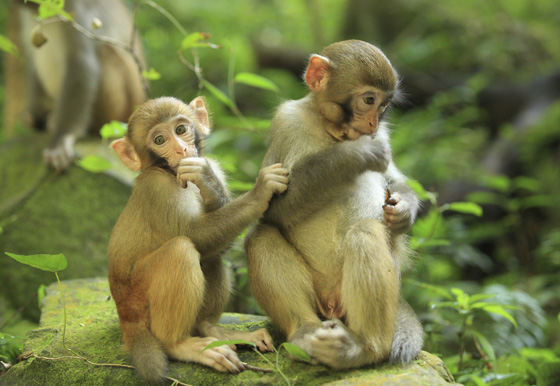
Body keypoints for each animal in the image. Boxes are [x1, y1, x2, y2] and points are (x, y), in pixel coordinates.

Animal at [5, 0, 145, 170]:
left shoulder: (75, 9)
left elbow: (81, 63)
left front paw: (62, 139)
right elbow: (32, 64)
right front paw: (35, 116)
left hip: (122, 110)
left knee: (105, 51)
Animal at [109, 97, 290, 386]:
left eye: (181, 130)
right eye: (159, 139)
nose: (182, 149)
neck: (168, 172)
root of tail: (125, 315)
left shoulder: (212, 164)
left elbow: (217, 243)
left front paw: (206, 181)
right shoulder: (156, 187)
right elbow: (195, 236)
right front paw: (259, 192)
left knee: (212, 257)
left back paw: (211, 329)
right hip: (138, 299)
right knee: (182, 249)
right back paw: (180, 344)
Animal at [243, 40, 422, 370]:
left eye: (384, 105)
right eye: (369, 99)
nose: (372, 123)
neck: (328, 129)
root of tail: (331, 305)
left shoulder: (383, 136)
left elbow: (395, 181)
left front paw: (403, 210)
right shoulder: (285, 121)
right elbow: (272, 209)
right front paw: (353, 155)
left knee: (365, 233)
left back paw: (364, 347)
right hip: (319, 299)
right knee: (261, 234)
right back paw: (305, 332)